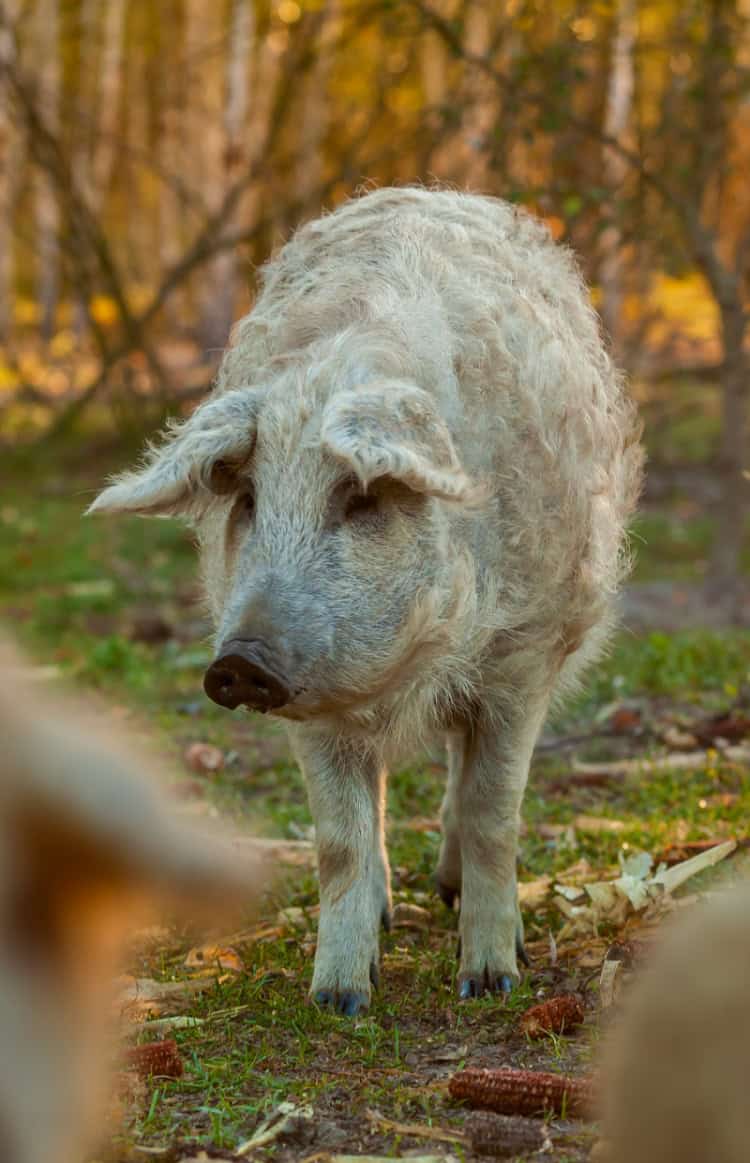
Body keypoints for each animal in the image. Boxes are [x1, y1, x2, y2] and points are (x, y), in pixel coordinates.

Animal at [90, 186, 641, 1014]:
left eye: (360, 497)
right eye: (246, 499)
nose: (240, 661)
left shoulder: (525, 656)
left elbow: (493, 811)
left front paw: (490, 982)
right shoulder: (313, 703)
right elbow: (338, 840)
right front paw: (340, 999)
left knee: (462, 778)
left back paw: (452, 896)